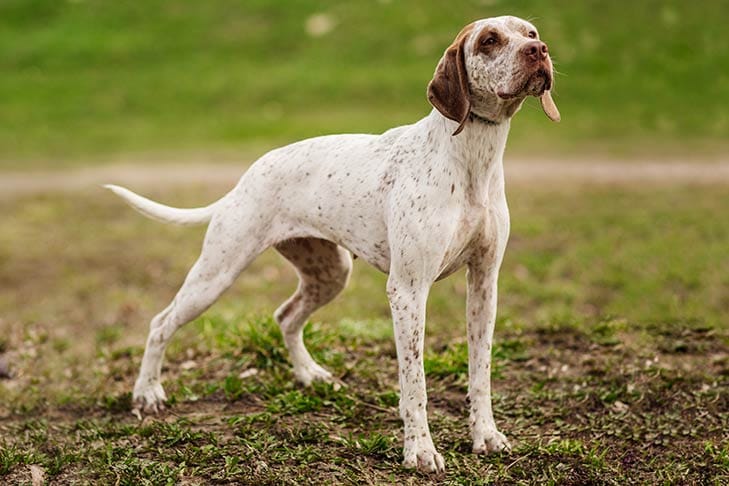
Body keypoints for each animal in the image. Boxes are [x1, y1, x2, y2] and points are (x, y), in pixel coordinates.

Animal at [104, 16, 556, 474]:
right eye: (489, 40)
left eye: (531, 34)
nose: (539, 52)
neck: (471, 159)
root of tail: (246, 177)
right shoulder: (408, 292)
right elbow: (415, 384)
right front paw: (420, 450)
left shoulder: (484, 283)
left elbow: (480, 373)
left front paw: (485, 436)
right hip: (216, 274)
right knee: (161, 323)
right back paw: (147, 393)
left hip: (330, 274)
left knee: (286, 317)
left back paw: (309, 374)